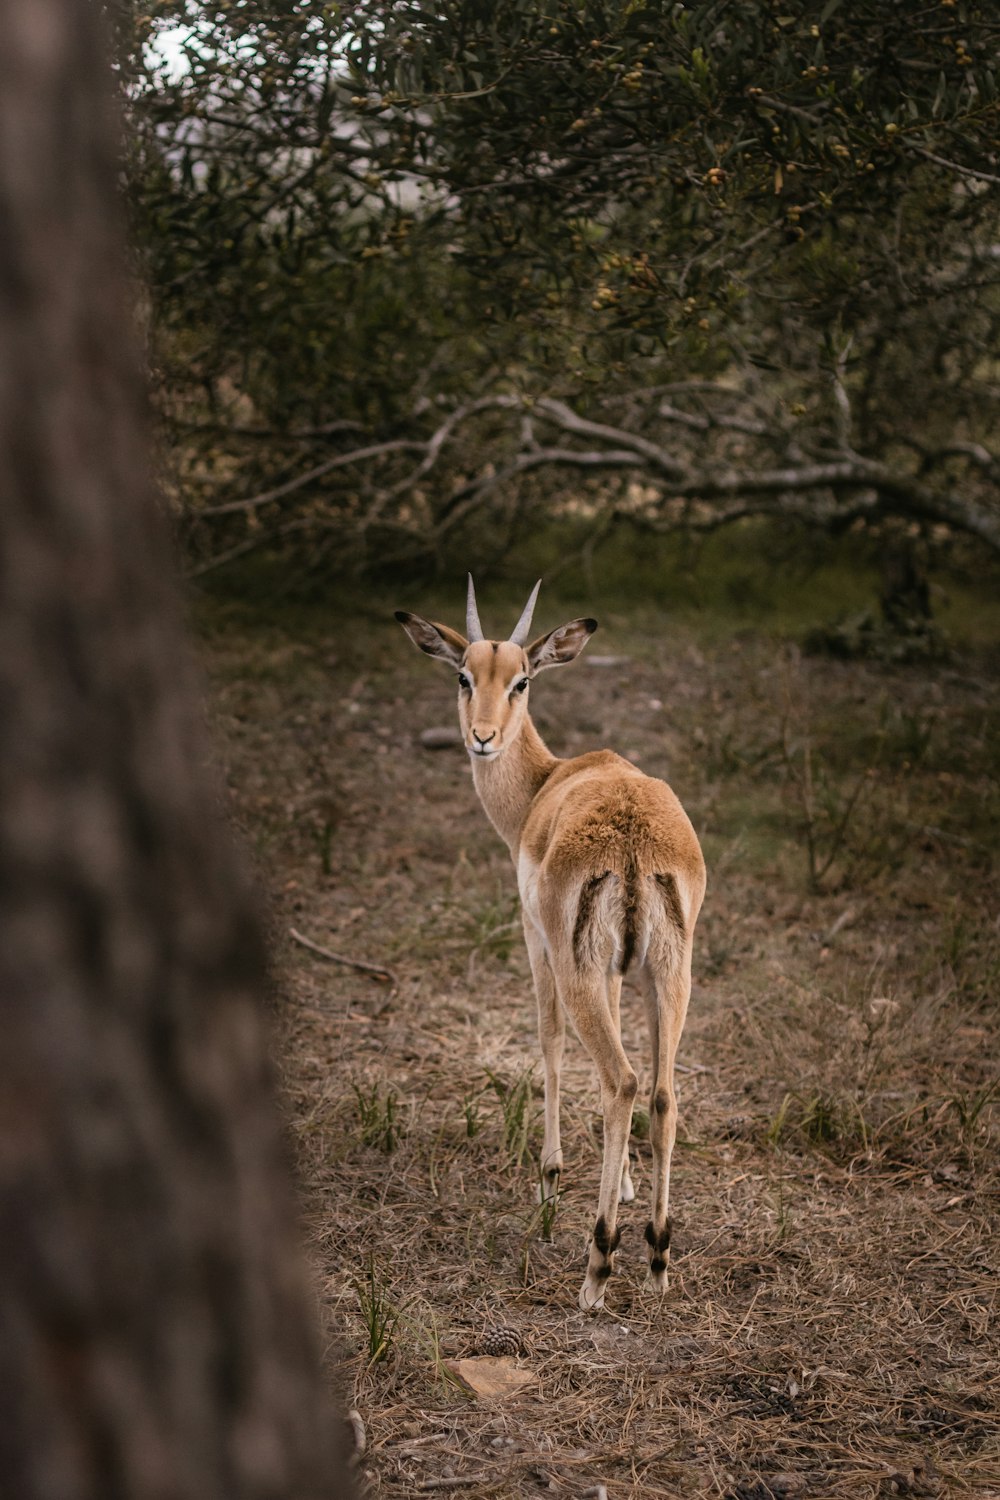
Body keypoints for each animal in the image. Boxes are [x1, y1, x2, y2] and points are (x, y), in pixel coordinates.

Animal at [395, 579, 707, 1308]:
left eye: (522, 681)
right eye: (463, 675)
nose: (482, 738)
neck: (546, 785)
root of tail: (633, 845)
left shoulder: (535, 941)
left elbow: (550, 1043)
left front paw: (548, 1179)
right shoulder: (621, 974)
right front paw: (624, 1184)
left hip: (578, 970)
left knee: (622, 1079)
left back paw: (598, 1265)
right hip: (668, 977)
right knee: (661, 1093)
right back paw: (656, 1257)